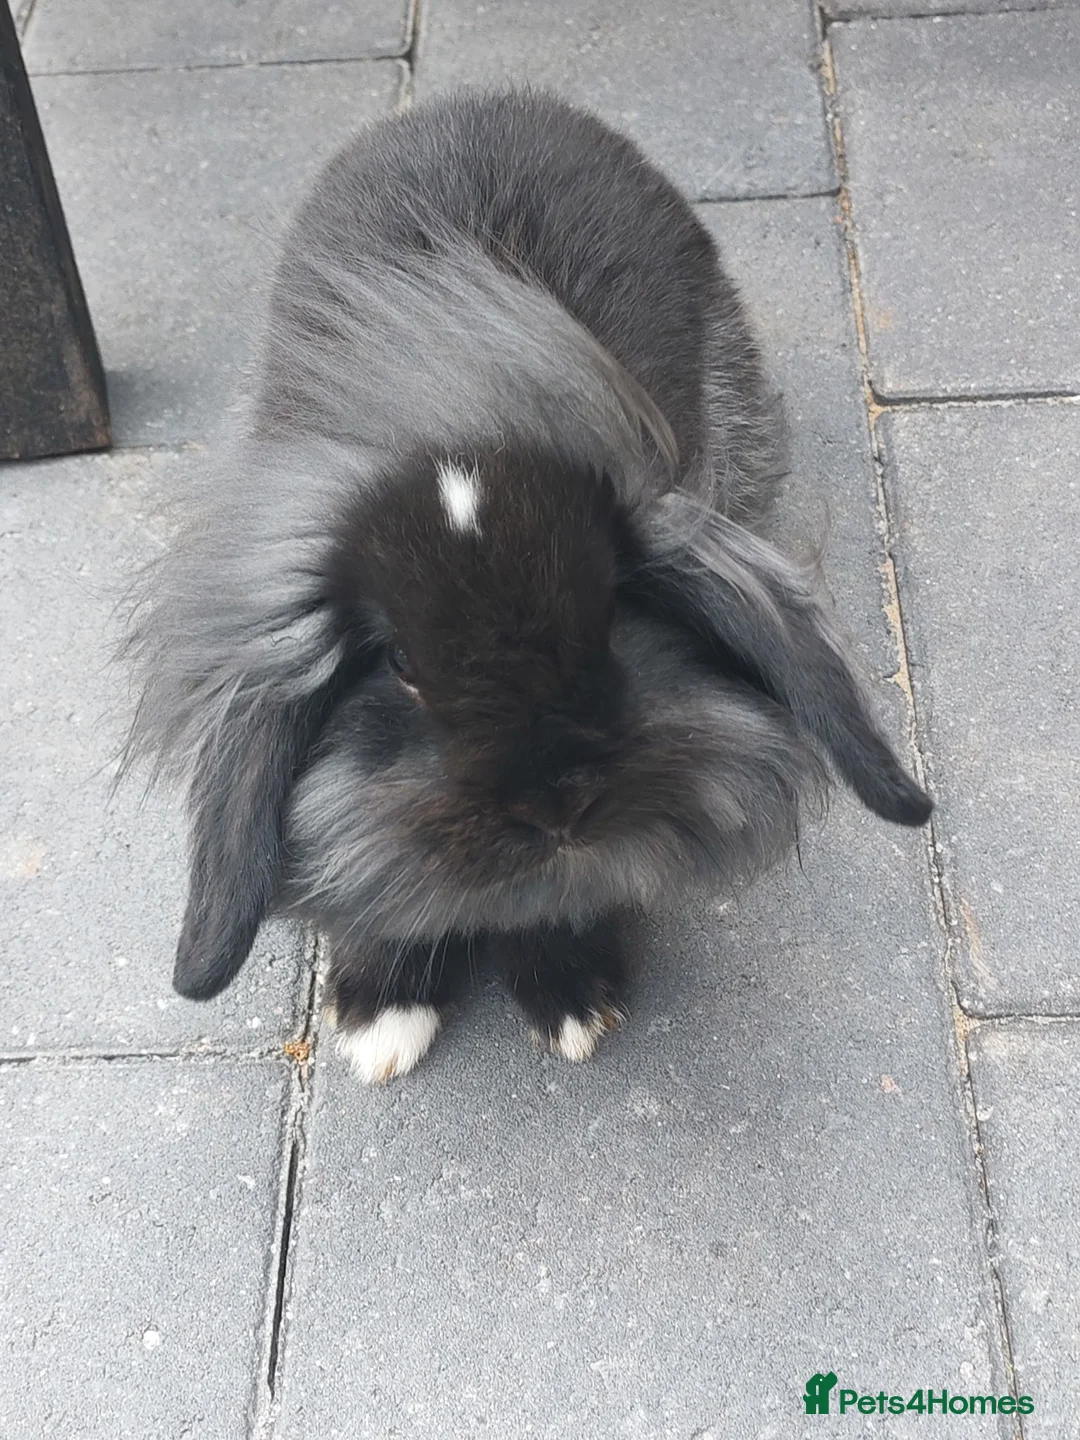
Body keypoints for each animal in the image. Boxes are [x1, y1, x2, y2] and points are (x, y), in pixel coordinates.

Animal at [124, 88, 932, 1084]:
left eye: (612, 614)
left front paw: (571, 998)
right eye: (400, 663)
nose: (557, 804)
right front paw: (381, 1014)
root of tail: (485, 100)